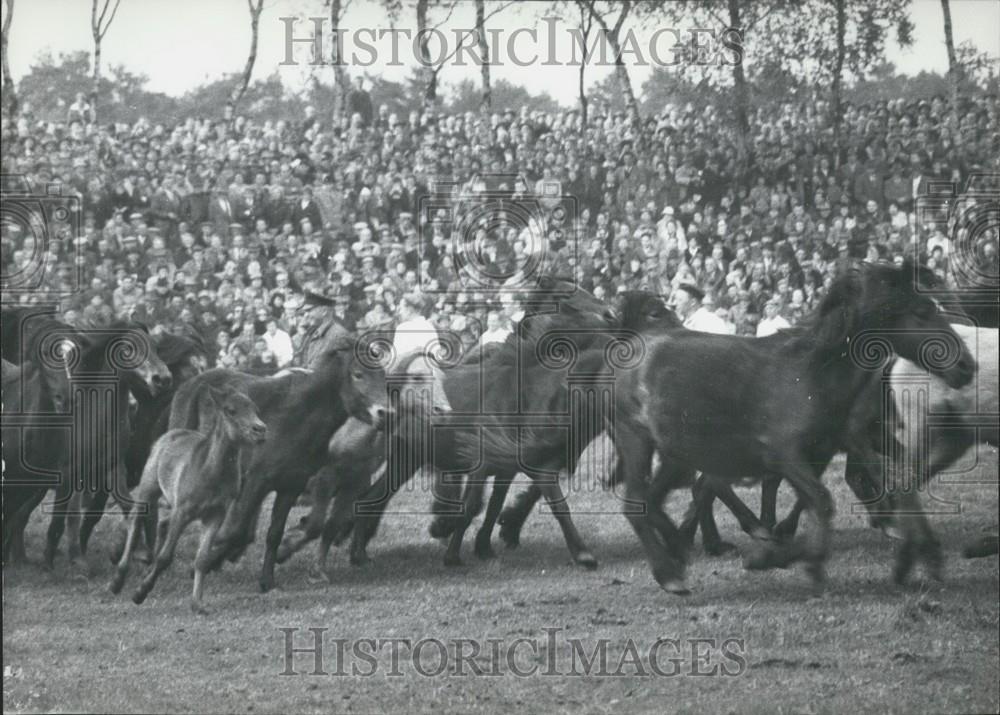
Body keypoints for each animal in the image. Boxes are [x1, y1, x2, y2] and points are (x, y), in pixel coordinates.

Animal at [111, 386, 268, 616]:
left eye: (256, 410)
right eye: (230, 410)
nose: (260, 430)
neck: (209, 472)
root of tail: (170, 434)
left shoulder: (216, 514)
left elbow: (201, 559)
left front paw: (197, 604)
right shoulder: (183, 510)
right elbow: (165, 556)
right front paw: (140, 592)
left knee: (160, 523)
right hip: (149, 486)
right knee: (135, 521)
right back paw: (118, 580)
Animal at [168, 332, 390, 592]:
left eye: (383, 375)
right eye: (358, 374)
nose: (385, 414)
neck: (295, 416)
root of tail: (193, 382)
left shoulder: (290, 486)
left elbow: (274, 533)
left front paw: (267, 580)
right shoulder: (258, 482)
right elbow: (235, 530)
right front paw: (207, 562)